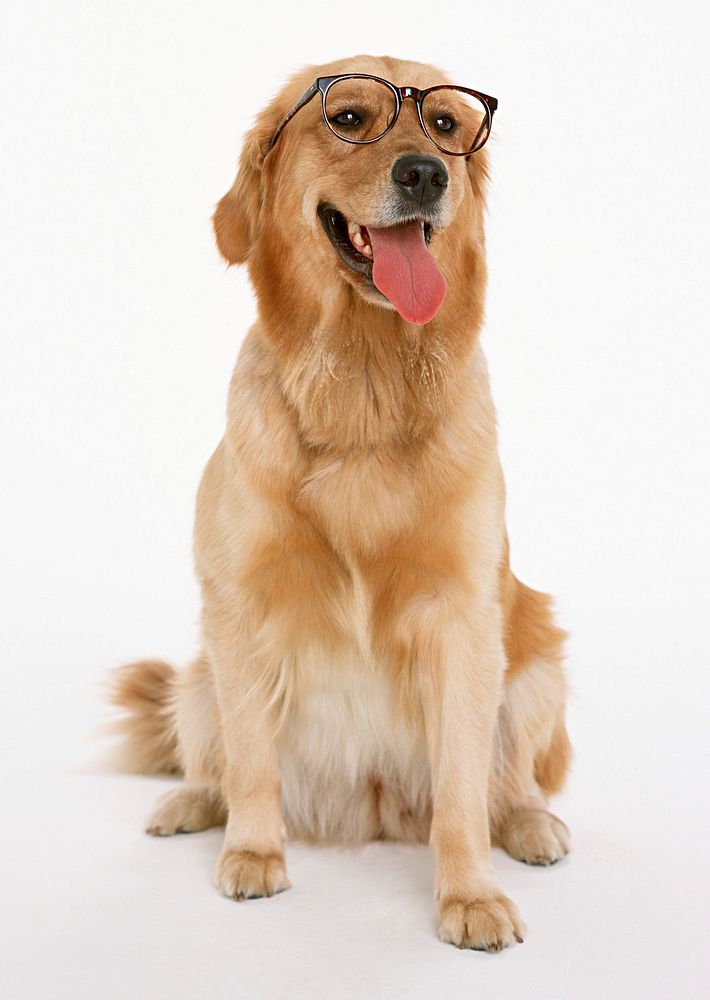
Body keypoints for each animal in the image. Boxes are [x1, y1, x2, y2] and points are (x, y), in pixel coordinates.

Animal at [111, 54, 572, 952]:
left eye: (446, 126)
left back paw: (532, 825)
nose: (425, 173)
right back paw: (191, 805)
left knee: (510, 782)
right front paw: (254, 854)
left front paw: (471, 896)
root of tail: (369, 810)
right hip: (198, 678)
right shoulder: (239, 606)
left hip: (538, 665)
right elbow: (252, 761)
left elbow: (463, 789)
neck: (363, 388)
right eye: (350, 119)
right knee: (215, 761)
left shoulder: (463, 616)